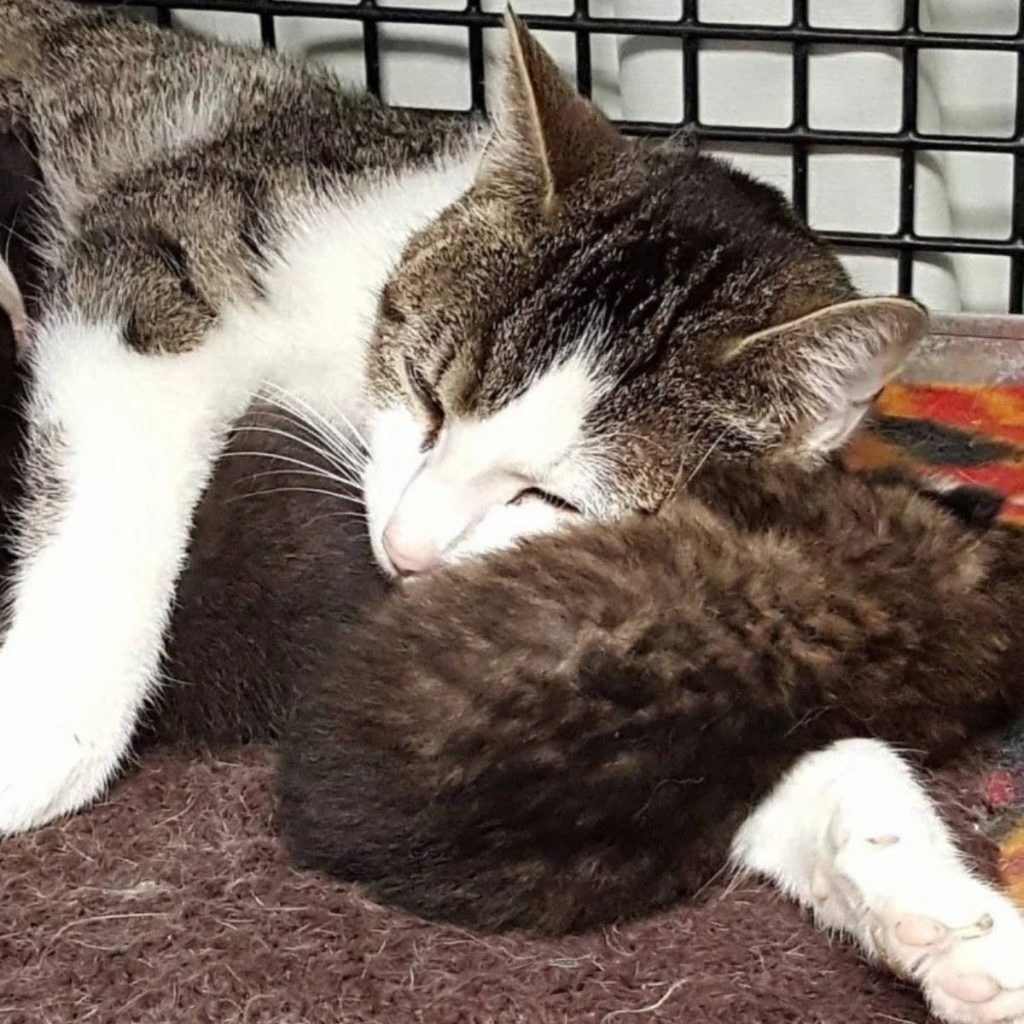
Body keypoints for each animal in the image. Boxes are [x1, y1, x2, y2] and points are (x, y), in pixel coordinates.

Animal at [2, 4, 1024, 1019]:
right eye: (426, 390)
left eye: (553, 496)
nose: (405, 547)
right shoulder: (170, 241)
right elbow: (126, 452)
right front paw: (48, 722)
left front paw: (945, 915)